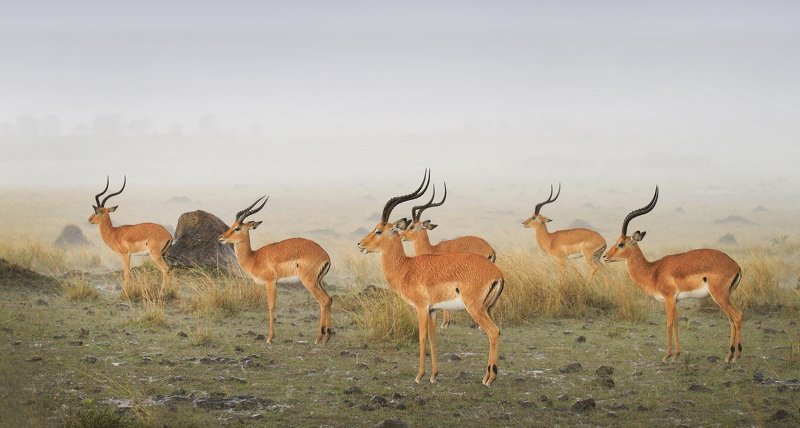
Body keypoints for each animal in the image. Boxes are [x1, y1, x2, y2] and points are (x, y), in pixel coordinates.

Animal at [218, 196, 333, 345]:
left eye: (237, 228)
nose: (221, 237)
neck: (254, 257)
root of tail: (326, 256)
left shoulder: (270, 282)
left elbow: (271, 306)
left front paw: (269, 338)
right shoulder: (276, 283)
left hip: (309, 282)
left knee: (323, 301)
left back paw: (319, 338)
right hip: (319, 282)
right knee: (329, 299)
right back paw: (327, 337)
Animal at [603, 186, 744, 363]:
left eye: (621, 244)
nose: (605, 256)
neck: (653, 270)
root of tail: (736, 266)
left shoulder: (668, 298)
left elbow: (669, 323)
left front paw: (666, 355)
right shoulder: (676, 300)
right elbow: (676, 323)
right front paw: (676, 354)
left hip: (719, 296)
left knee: (737, 316)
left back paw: (736, 356)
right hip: (725, 297)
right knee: (731, 319)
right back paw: (729, 355)